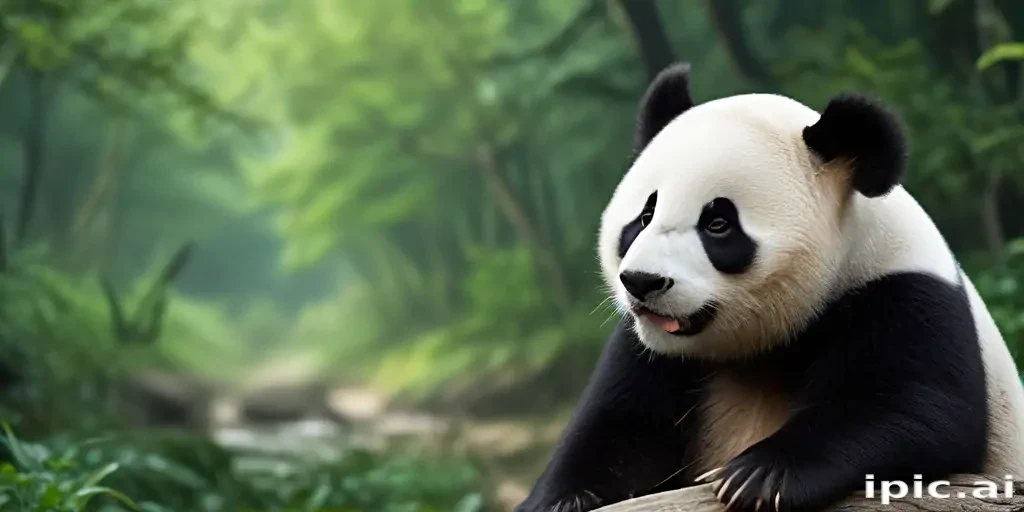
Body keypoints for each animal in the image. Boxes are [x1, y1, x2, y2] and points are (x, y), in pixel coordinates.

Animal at [516, 62, 1024, 512]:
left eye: (718, 224)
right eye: (644, 216)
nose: (642, 282)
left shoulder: (904, 293)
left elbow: (919, 409)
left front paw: (758, 476)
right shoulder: (648, 348)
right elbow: (617, 427)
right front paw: (557, 498)